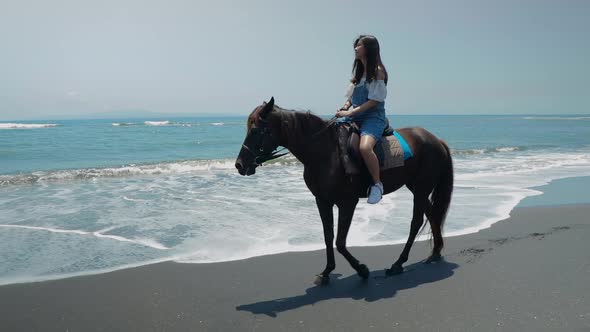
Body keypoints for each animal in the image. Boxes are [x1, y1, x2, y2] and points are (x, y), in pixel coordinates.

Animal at [235, 96, 454, 286]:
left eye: (256, 130)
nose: (239, 165)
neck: (324, 151)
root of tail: (436, 140)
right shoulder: (322, 200)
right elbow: (328, 236)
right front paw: (326, 272)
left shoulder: (347, 202)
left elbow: (340, 241)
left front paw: (362, 270)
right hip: (416, 187)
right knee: (432, 214)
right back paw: (435, 253)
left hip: (421, 188)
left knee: (416, 222)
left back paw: (398, 264)